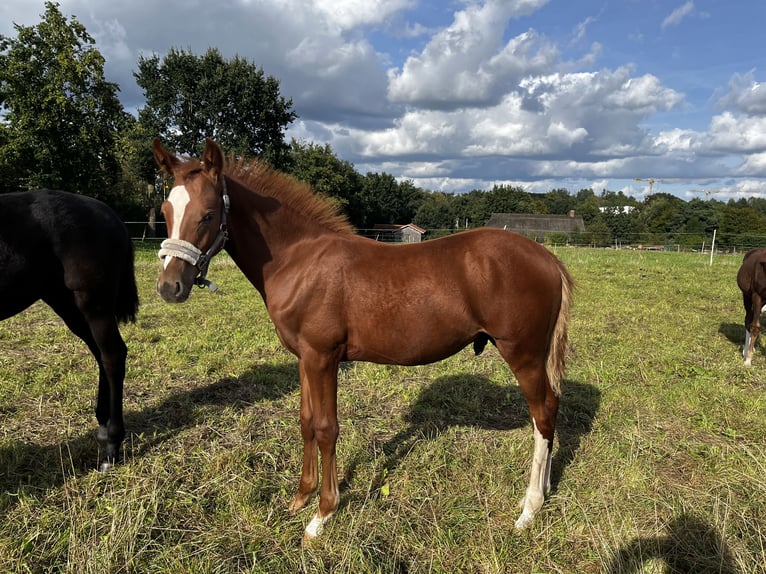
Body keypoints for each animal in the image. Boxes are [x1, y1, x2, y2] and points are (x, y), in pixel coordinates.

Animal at [1, 191, 139, 470]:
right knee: (101, 354)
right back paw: (104, 426)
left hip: (93, 304)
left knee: (112, 355)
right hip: (67, 304)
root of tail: (110, 214)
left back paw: (112, 446)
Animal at [153, 137, 572, 544]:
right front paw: (300, 498)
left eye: (208, 214)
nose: (169, 287)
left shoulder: (323, 357)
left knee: (542, 414)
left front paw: (321, 516)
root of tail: (548, 258)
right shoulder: (304, 358)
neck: (299, 260)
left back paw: (529, 509)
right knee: (551, 409)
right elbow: (306, 421)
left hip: (523, 354)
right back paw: (546, 489)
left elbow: (327, 428)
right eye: (166, 211)